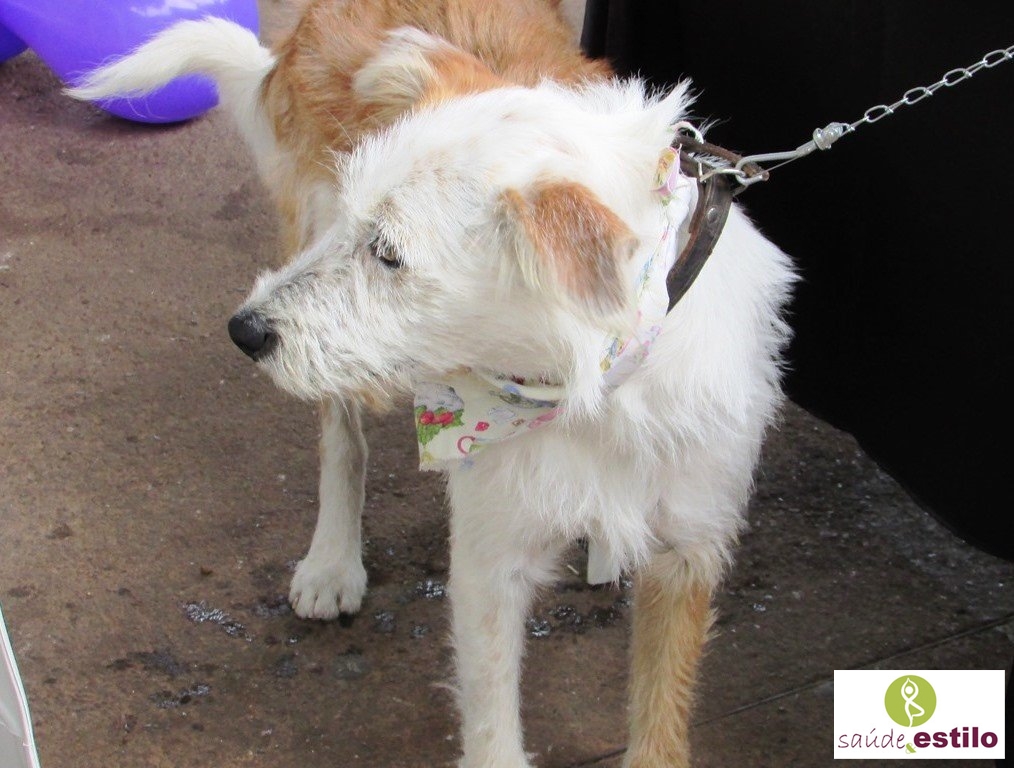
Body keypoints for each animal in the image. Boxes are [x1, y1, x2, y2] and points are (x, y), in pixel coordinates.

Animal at [70, 2, 796, 765]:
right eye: (358, 228)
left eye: (388, 253)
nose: (244, 331)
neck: (599, 386)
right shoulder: (489, 563)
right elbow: (492, 726)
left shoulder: (688, 552)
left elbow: (660, 716)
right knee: (341, 440)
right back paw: (332, 560)